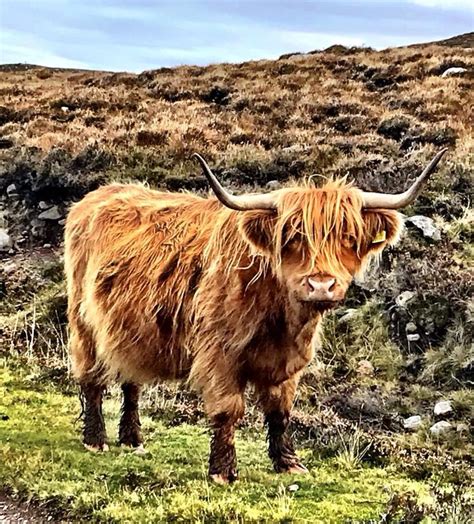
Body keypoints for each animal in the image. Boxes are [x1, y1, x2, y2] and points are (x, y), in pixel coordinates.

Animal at [65, 147, 448, 484]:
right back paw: (96, 439)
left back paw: (132, 439)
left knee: (131, 380)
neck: (279, 317)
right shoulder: (219, 353)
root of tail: (94, 196)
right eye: (292, 238)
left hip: (131, 329)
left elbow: (280, 411)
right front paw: (223, 471)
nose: (321, 285)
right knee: (91, 378)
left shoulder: (287, 361)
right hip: (83, 322)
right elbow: (228, 410)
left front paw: (289, 463)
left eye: (349, 237)